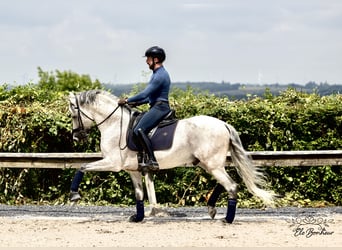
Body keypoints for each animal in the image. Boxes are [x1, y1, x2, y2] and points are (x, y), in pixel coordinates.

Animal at [69, 90, 276, 223]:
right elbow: (139, 194)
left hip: (212, 164)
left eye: (72, 114)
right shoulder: (132, 169)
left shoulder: (112, 163)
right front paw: (138, 217)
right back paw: (212, 209)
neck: (114, 123)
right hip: (208, 164)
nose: (77, 137)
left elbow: (82, 167)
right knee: (227, 183)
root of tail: (223, 124)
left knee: (231, 185)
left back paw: (227, 219)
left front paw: (74, 195)